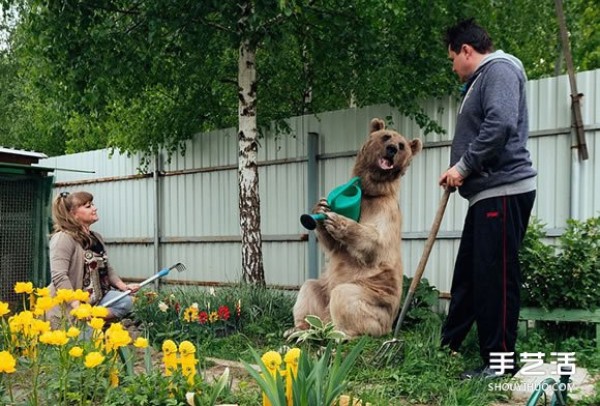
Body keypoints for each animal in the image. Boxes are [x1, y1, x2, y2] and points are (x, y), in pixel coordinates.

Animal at [290, 119, 422, 338]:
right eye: (386, 136)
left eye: (402, 145)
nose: (392, 149)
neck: (370, 191)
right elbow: (332, 245)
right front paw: (321, 207)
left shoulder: (386, 210)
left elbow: (377, 242)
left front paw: (339, 221)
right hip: (324, 290)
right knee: (309, 288)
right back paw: (298, 329)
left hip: (373, 300)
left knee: (345, 297)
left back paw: (341, 334)